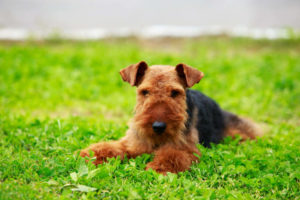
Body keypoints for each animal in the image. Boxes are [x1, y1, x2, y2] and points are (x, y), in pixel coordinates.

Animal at [79, 60, 260, 173]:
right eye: (145, 91)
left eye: (175, 92)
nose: (158, 126)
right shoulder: (132, 143)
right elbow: (113, 147)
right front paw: (91, 154)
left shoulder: (187, 150)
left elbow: (172, 156)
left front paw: (159, 168)